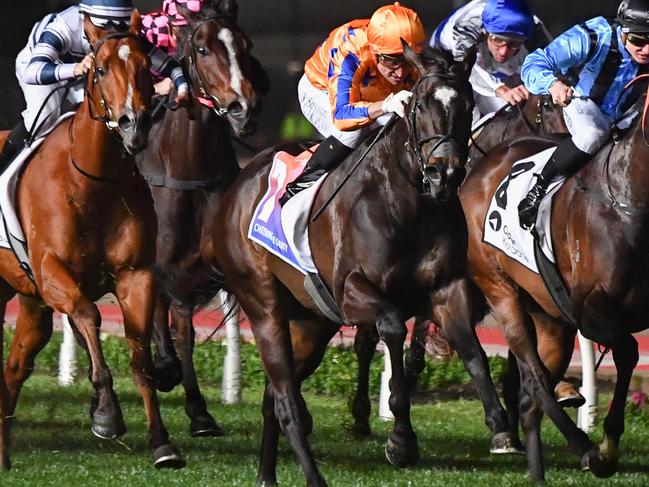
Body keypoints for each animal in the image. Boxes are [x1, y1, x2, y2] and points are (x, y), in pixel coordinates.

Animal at [0, 11, 185, 468]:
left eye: (145, 68)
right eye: (100, 69)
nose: (133, 125)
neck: (92, 182)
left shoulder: (135, 275)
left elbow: (138, 354)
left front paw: (162, 441)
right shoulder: (52, 272)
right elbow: (89, 315)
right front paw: (105, 411)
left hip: (28, 301)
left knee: (13, 371)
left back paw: (4, 455)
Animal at [134, 0, 268, 436]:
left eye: (246, 46)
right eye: (204, 49)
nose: (244, 108)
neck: (187, 173)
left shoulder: (199, 270)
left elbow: (185, 331)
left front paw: (200, 409)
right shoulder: (160, 267)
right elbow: (166, 327)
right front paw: (167, 373)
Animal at [205, 44, 520, 484]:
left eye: (469, 104)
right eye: (420, 104)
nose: (445, 173)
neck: (407, 207)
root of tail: (236, 188)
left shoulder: (447, 287)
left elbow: (472, 349)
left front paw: (501, 426)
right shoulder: (351, 291)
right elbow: (391, 327)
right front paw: (400, 439)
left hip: (310, 325)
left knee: (273, 397)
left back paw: (267, 474)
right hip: (264, 307)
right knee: (286, 401)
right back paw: (310, 473)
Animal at [458, 86, 649, 480]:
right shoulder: (589, 309)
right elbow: (627, 351)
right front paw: (606, 447)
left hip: (550, 316)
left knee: (532, 397)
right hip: (500, 290)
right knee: (533, 379)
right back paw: (584, 449)